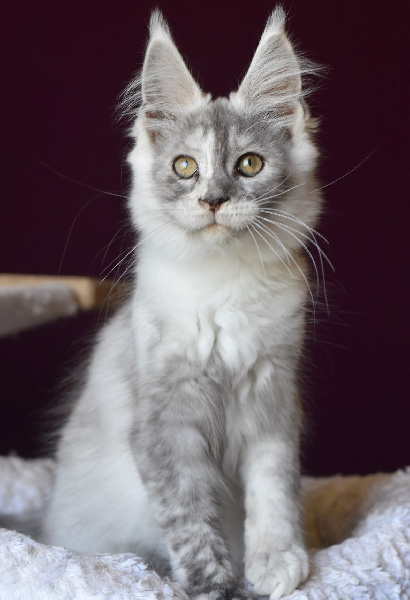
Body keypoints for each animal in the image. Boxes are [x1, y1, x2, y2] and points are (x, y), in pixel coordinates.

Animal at [41, 8, 324, 600]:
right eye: (186, 167)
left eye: (249, 164)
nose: (213, 200)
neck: (223, 286)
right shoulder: (164, 423)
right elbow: (191, 518)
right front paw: (214, 585)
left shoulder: (273, 401)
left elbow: (275, 490)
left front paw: (277, 561)